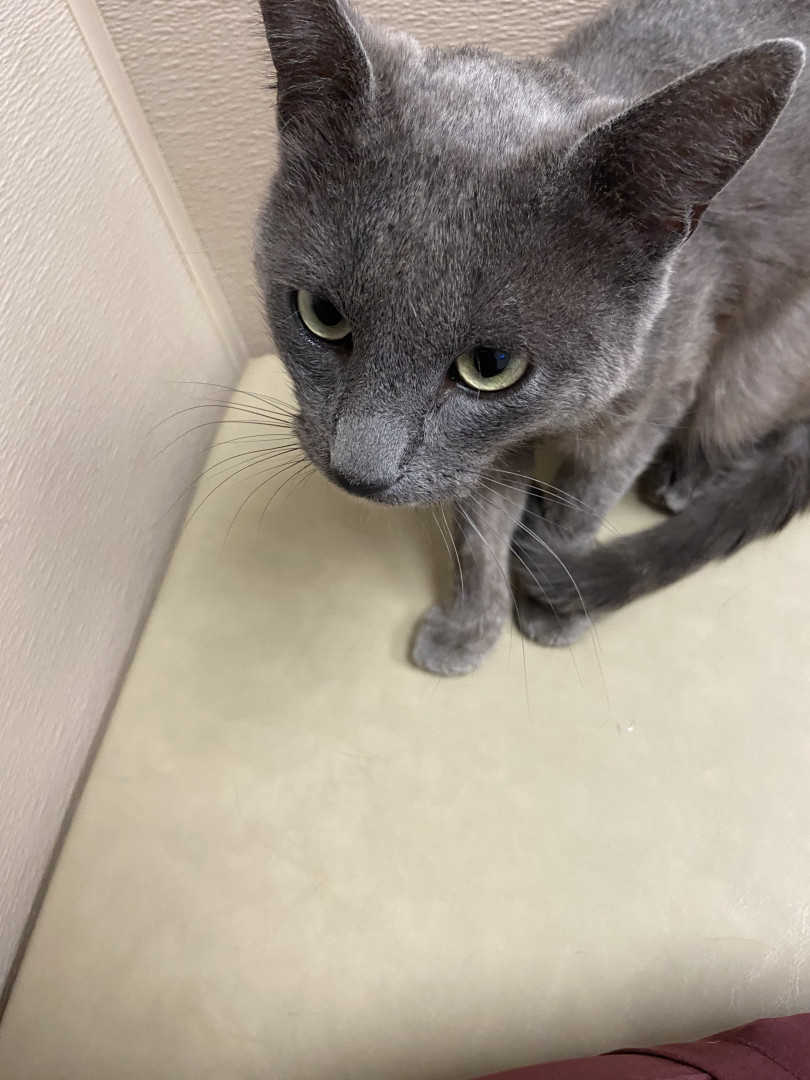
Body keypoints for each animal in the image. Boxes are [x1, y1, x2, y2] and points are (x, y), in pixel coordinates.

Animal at [254, 0, 809, 676]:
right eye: (321, 313)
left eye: (491, 364)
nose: (359, 473)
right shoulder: (480, 453)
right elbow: (478, 531)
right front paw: (470, 628)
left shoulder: (652, 397)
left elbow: (586, 499)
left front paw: (555, 594)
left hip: (751, 370)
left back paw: (685, 481)